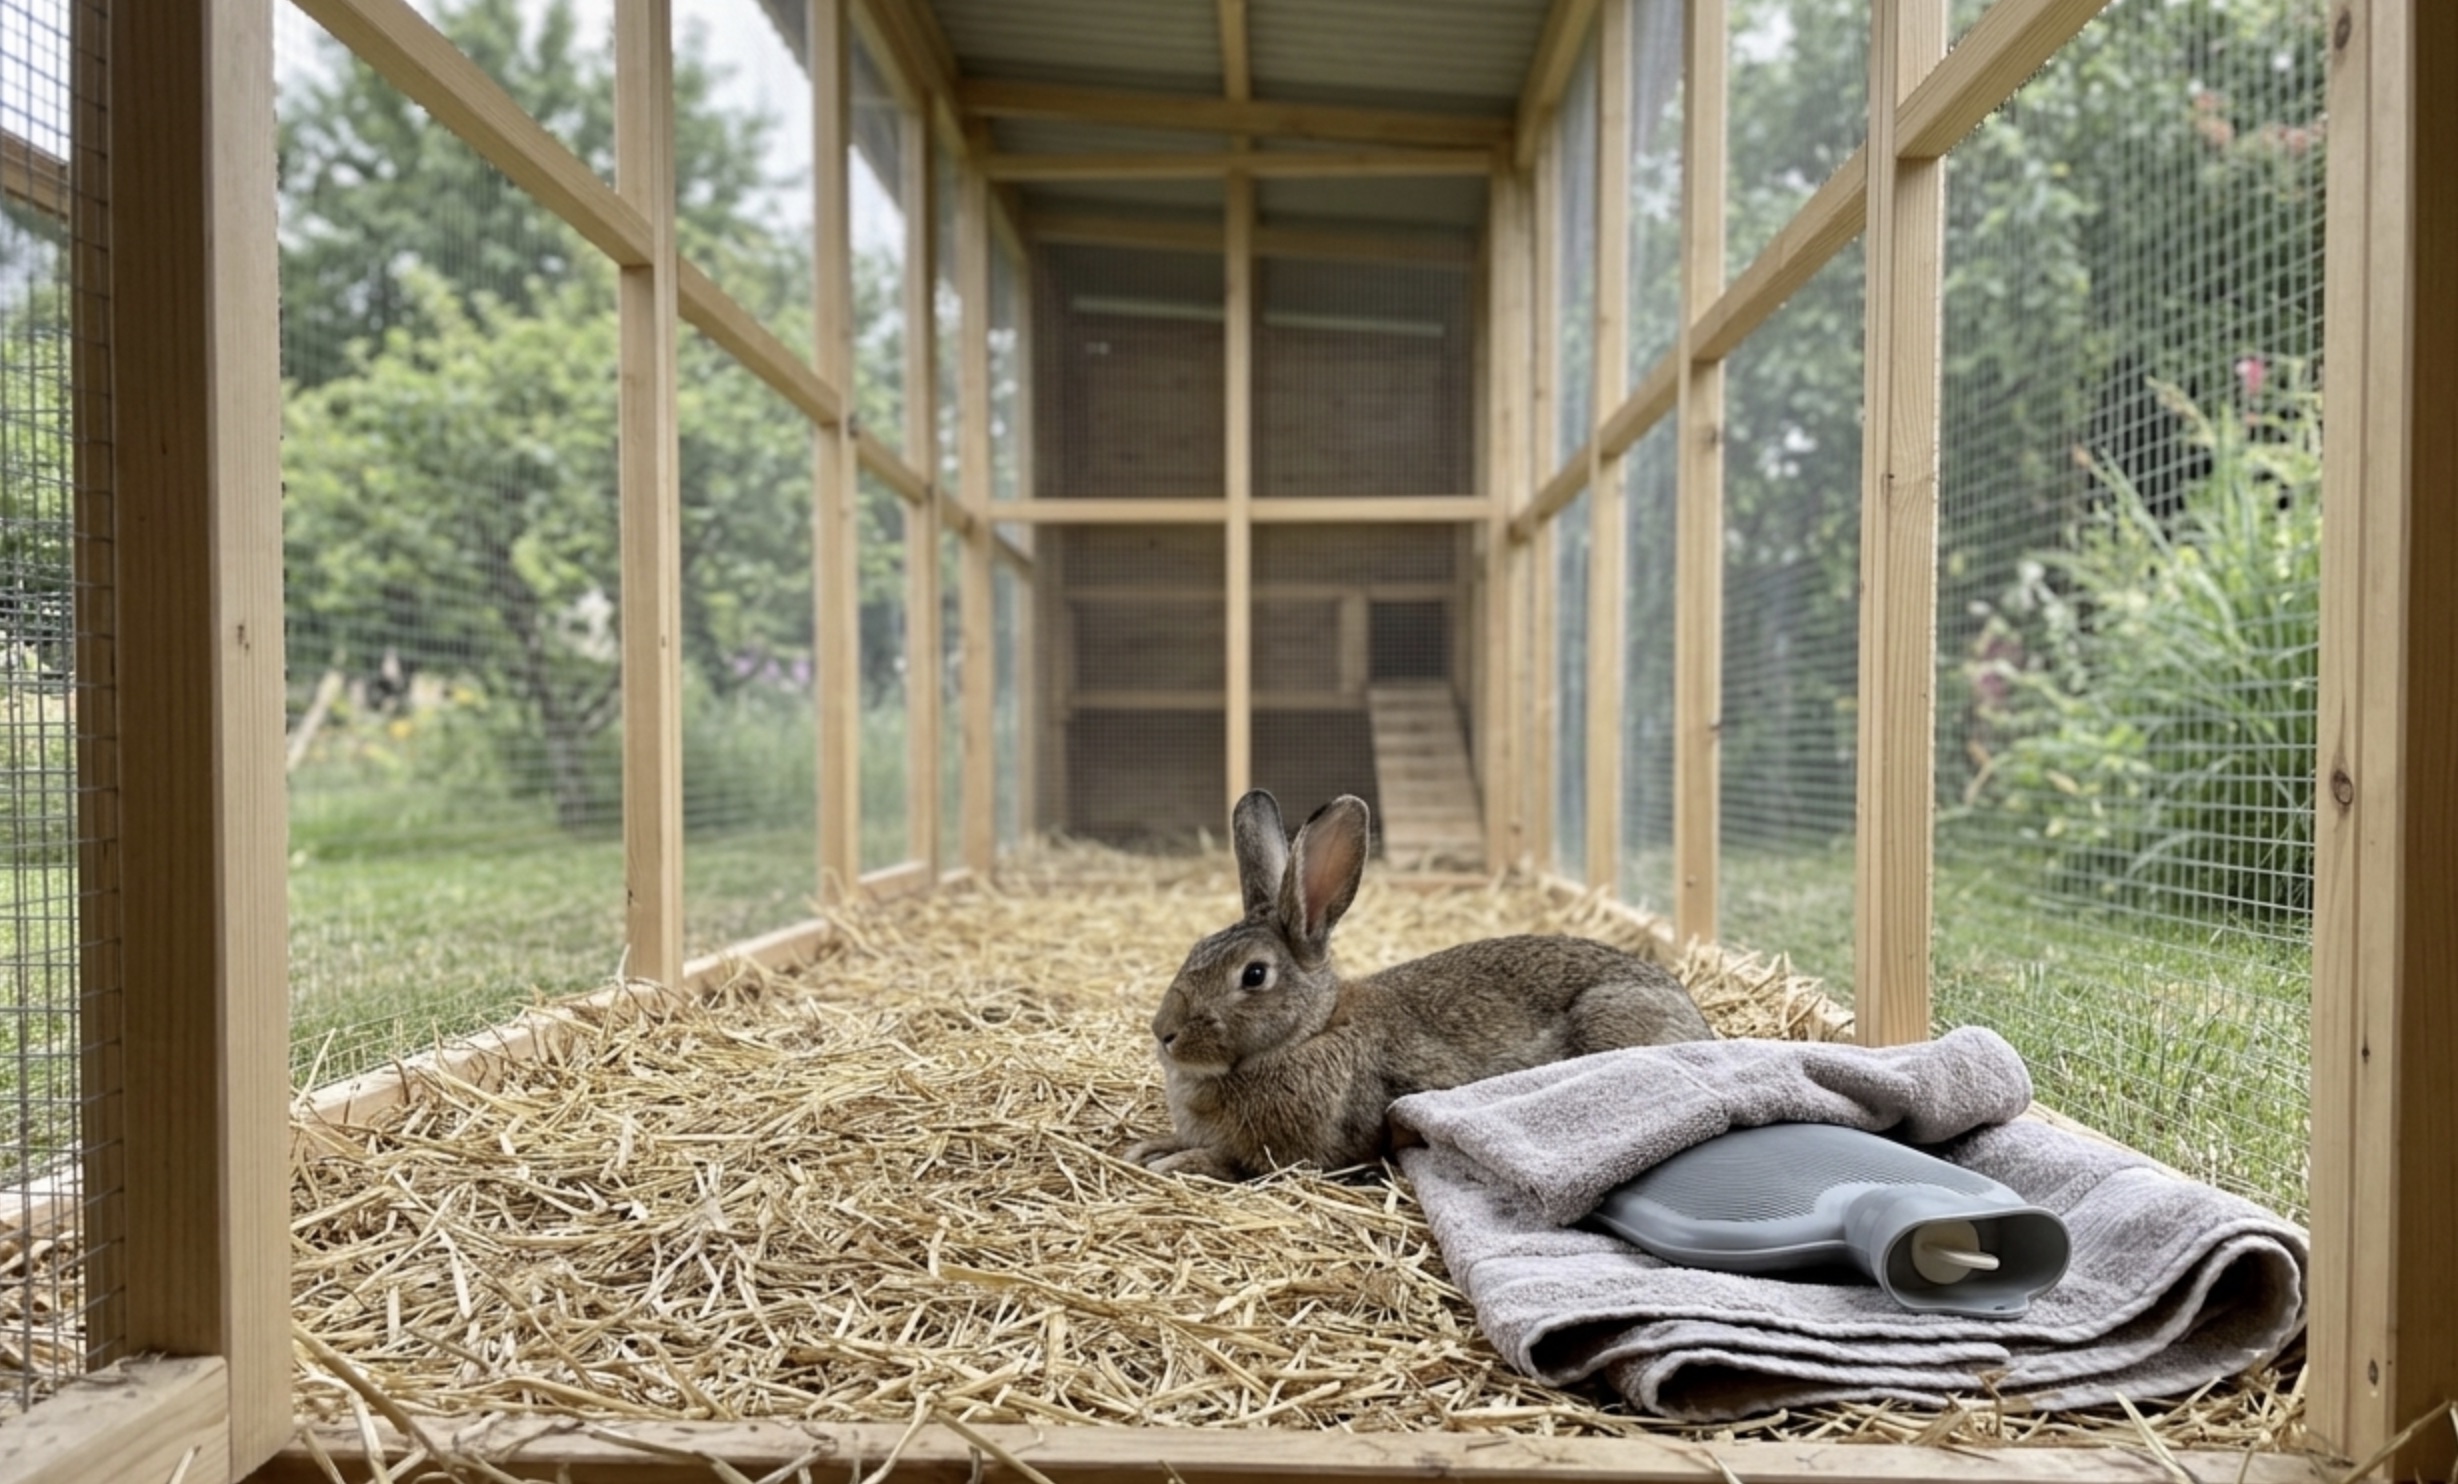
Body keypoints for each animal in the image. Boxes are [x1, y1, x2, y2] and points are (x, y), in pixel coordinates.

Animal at [1124, 789, 1714, 1181]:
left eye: (1253, 975)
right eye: (1196, 948)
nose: (1163, 1032)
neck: (1310, 1033)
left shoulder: (1296, 1156)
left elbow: (1231, 1163)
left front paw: (1173, 1160)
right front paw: (1149, 1147)